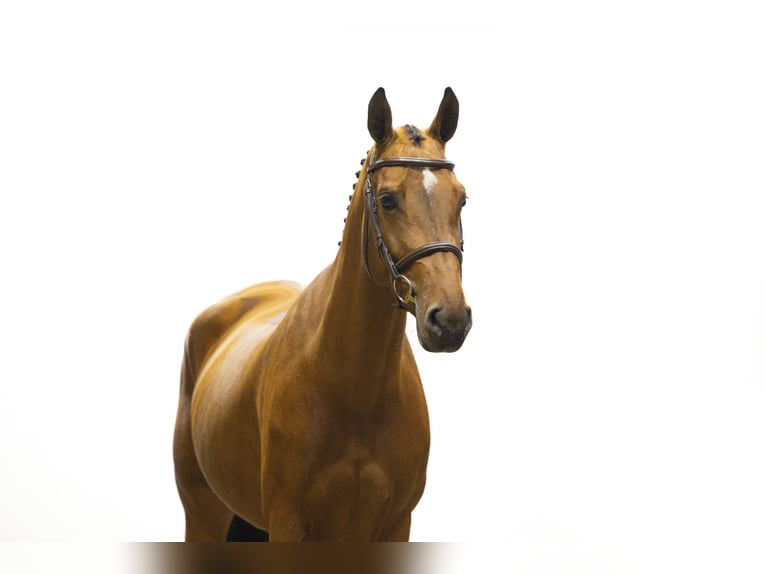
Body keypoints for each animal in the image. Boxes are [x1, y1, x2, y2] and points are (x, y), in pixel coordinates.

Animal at [173, 87, 472, 542]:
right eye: (387, 200)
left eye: (462, 198)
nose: (450, 319)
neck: (353, 390)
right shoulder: (288, 523)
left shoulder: (395, 524)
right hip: (203, 511)